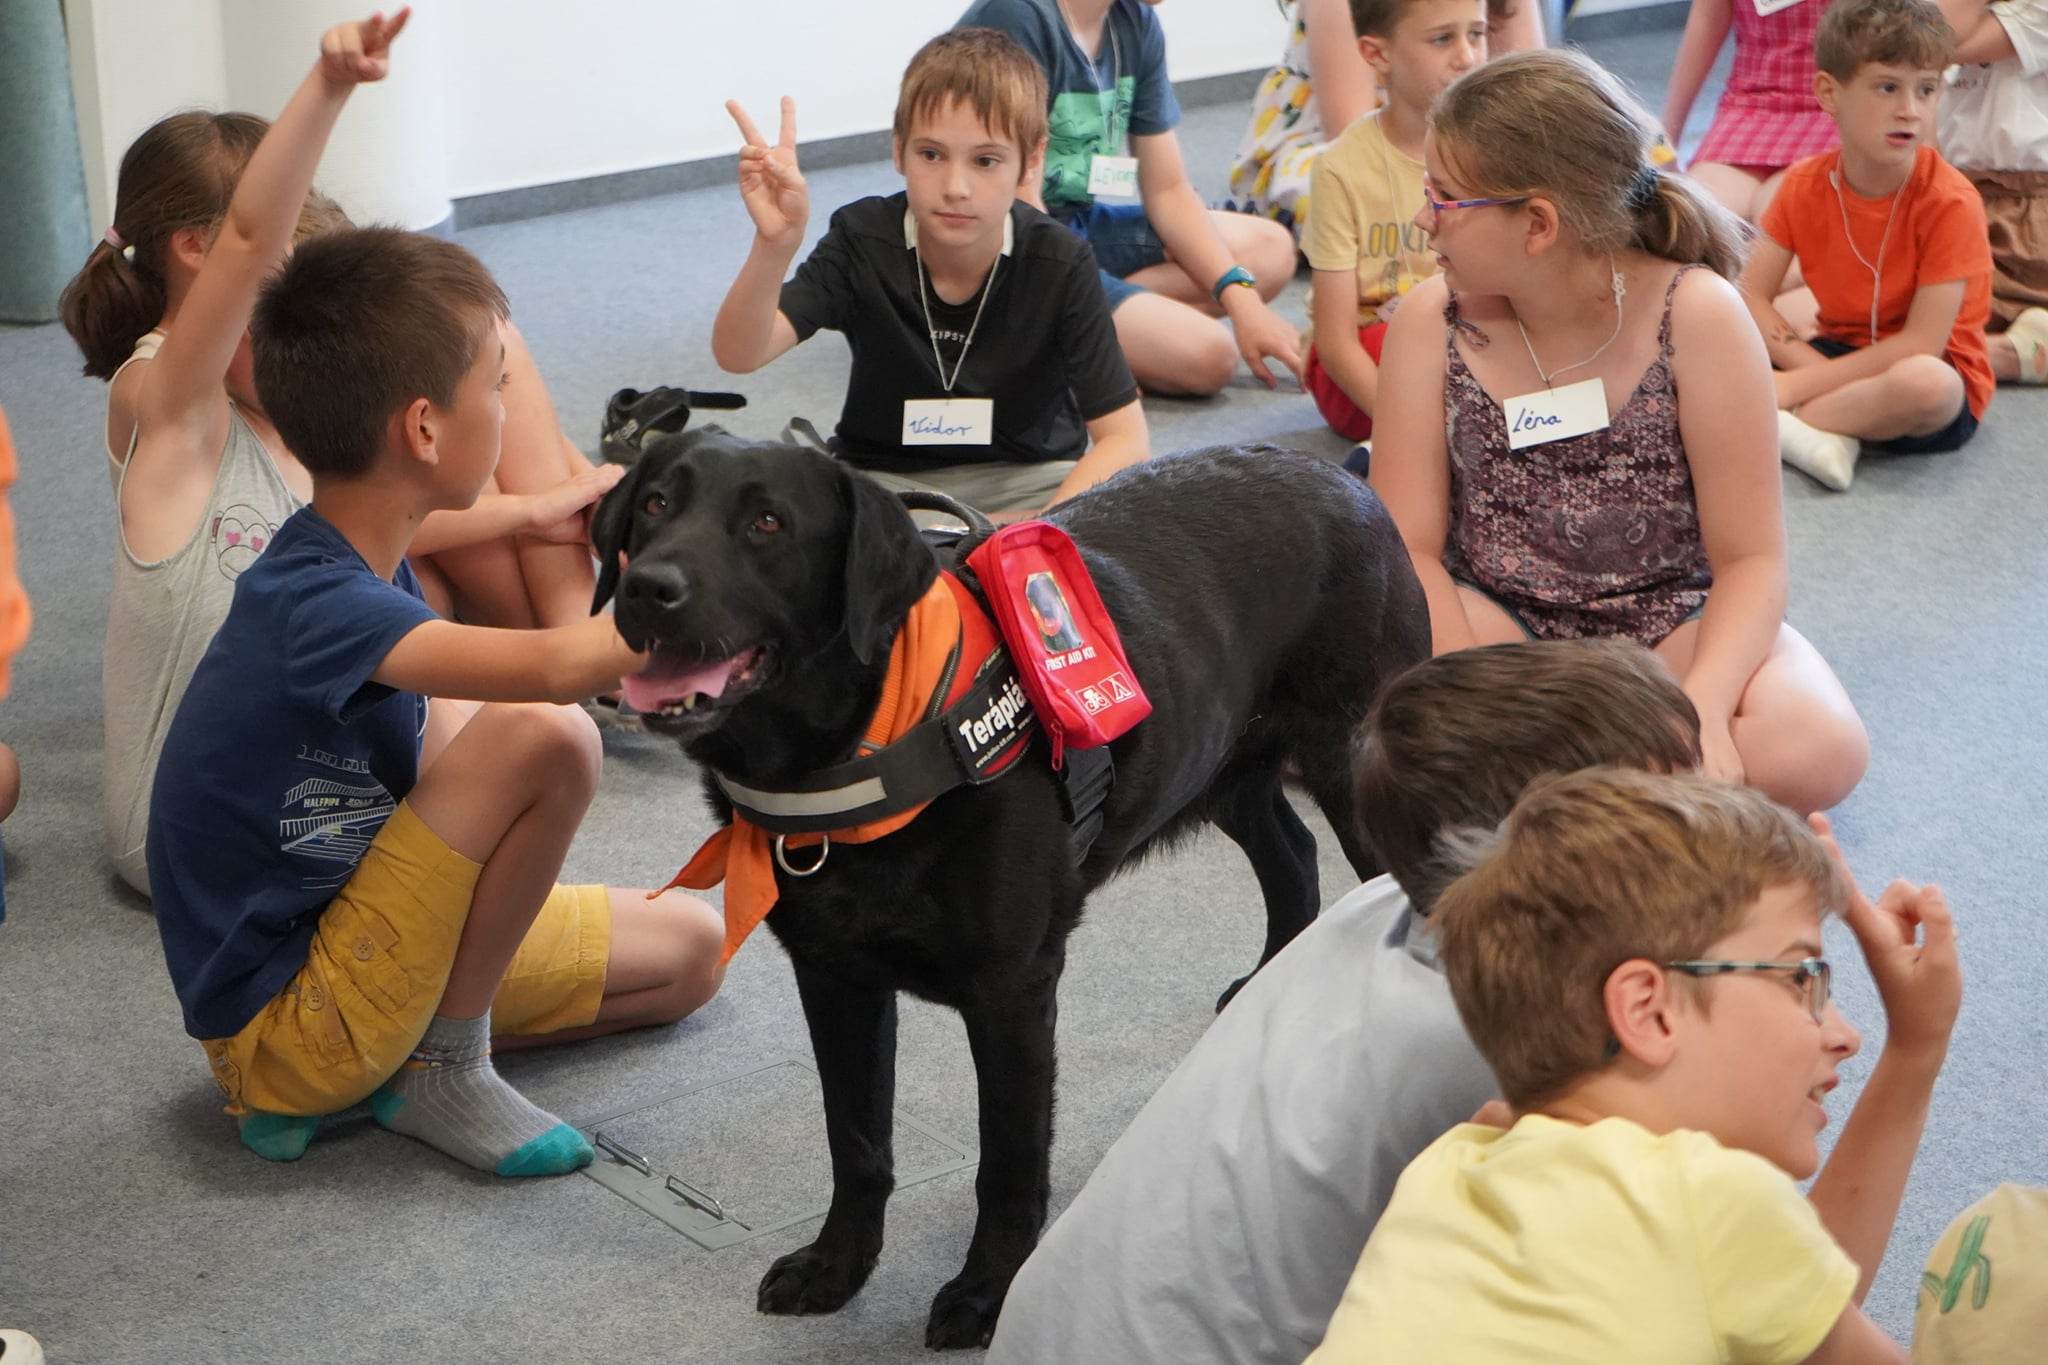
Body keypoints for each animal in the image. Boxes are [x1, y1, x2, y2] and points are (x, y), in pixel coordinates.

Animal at [591, 430, 1430, 1349]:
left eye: (768, 523)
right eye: (655, 504)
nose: (647, 587)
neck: (866, 749)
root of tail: (1341, 477)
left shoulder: (1013, 992)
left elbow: (1008, 1161)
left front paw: (986, 1291)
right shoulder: (833, 977)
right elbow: (857, 1139)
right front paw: (836, 1267)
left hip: (1355, 771)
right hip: (1223, 764)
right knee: (1294, 857)